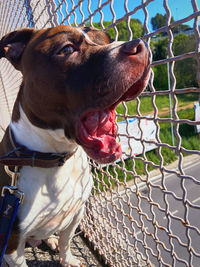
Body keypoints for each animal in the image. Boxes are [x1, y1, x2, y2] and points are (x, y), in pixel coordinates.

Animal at [0, 25, 151, 267]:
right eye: (67, 49)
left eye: (107, 39)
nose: (140, 45)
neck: (56, 157)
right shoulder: (12, 242)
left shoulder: (76, 211)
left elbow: (66, 240)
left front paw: (67, 258)